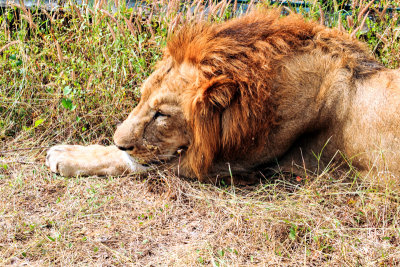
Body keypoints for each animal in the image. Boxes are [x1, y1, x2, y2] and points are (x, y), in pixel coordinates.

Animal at [46, 9, 400, 183]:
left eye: (162, 115)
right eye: (142, 97)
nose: (121, 141)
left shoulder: (228, 165)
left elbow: (131, 162)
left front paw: (67, 155)